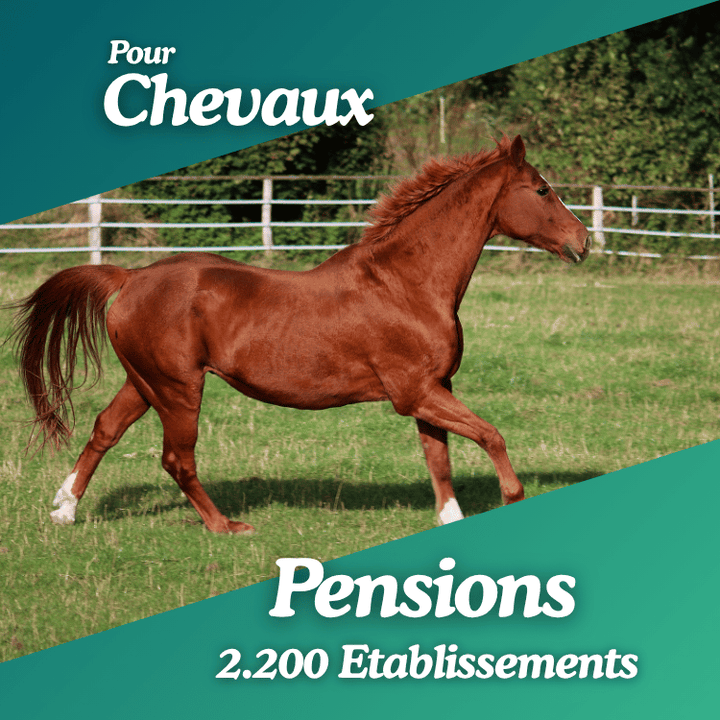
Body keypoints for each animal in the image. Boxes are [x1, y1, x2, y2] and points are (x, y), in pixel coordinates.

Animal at [8, 135, 590, 534]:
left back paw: (65, 509)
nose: (583, 242)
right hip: (178, 389)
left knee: (105, 430)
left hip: (147, 382)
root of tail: (129, 277)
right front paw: (513, 498)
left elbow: (439, 460)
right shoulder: (414, 393)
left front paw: (451, 519)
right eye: (542, 190)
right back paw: (226, 527)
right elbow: (491, 435)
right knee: (177, 459)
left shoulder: (434, 389)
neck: (407, 284)